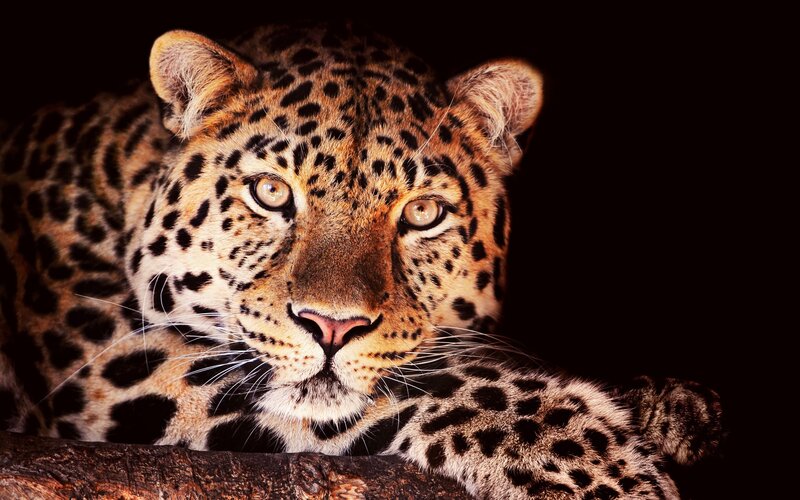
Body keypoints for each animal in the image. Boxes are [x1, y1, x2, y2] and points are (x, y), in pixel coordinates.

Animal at [0, 22, 722, 499]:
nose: (332, 327)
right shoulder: (112, 362)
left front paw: (672, 408)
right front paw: (589, 460)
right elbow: (428, 380)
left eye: (422, 213)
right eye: (271, 193)